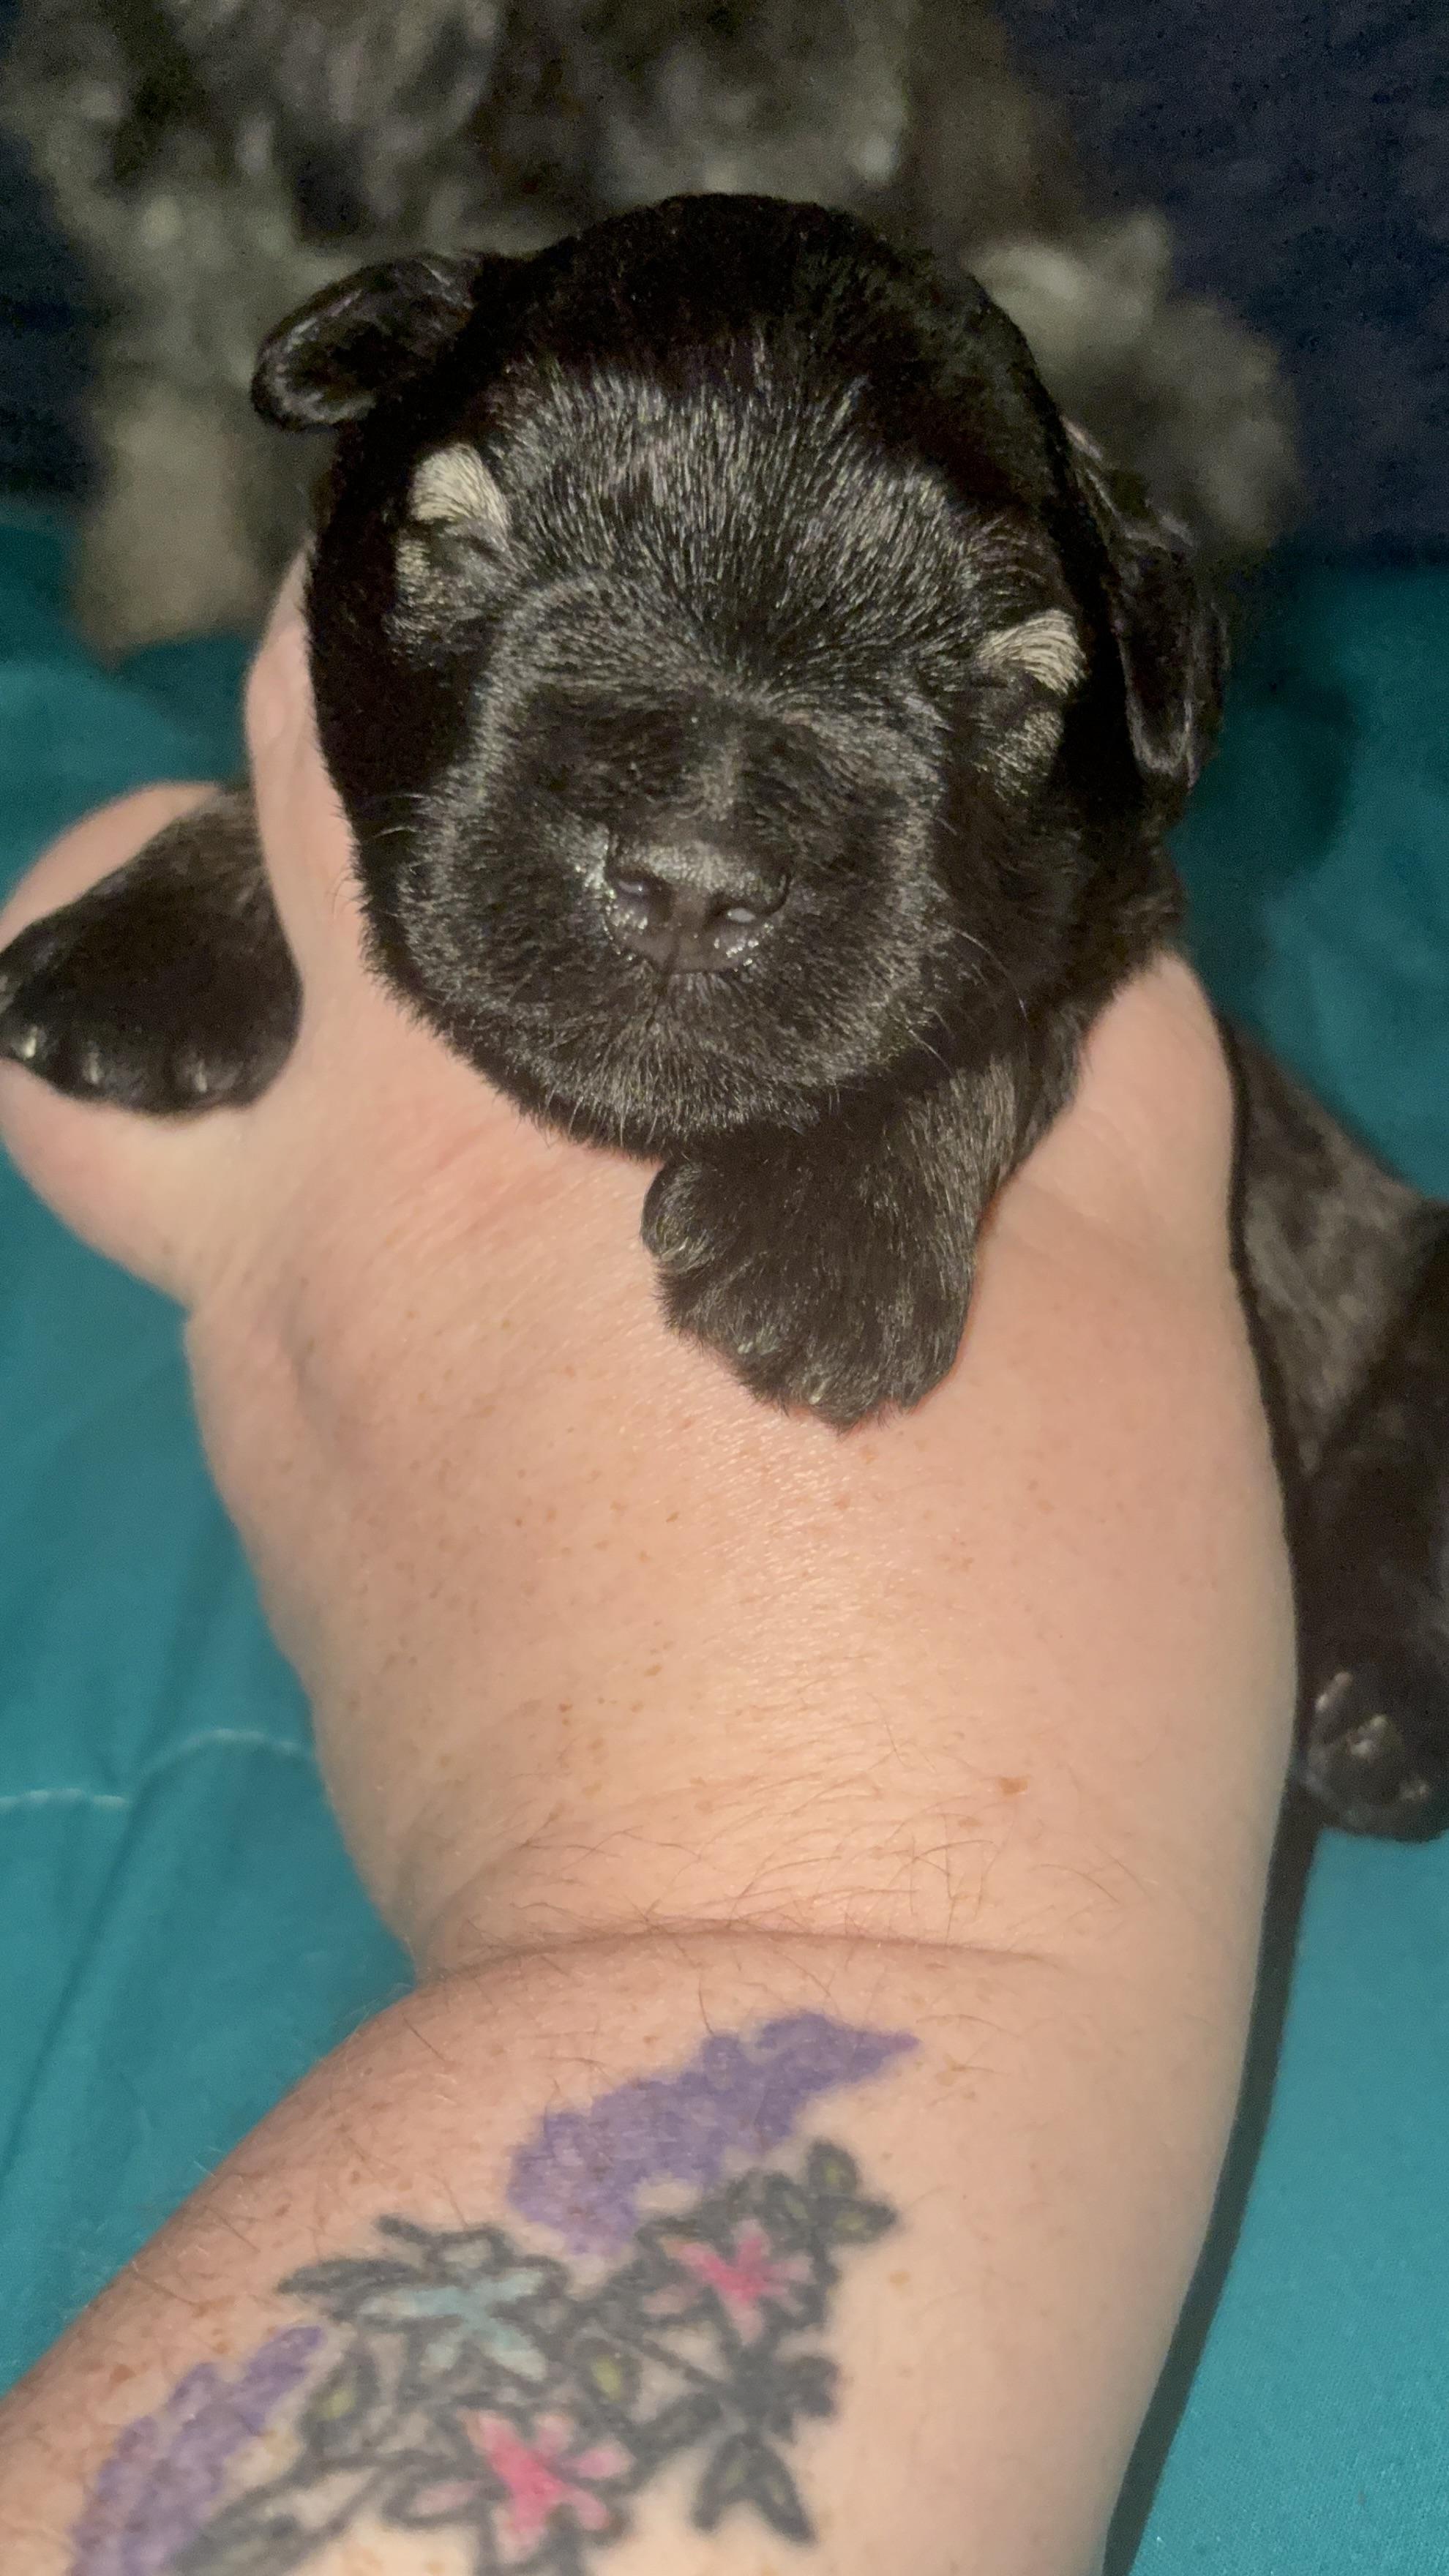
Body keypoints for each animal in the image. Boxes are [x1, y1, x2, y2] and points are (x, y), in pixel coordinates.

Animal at [0, 197, 1440, 1850]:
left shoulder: (1121, 907)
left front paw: (822, 1237)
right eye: (463, 540)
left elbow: (985, 1006)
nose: (692, 873)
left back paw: (1378, 1701)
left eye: (995, 685)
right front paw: (153, 938)